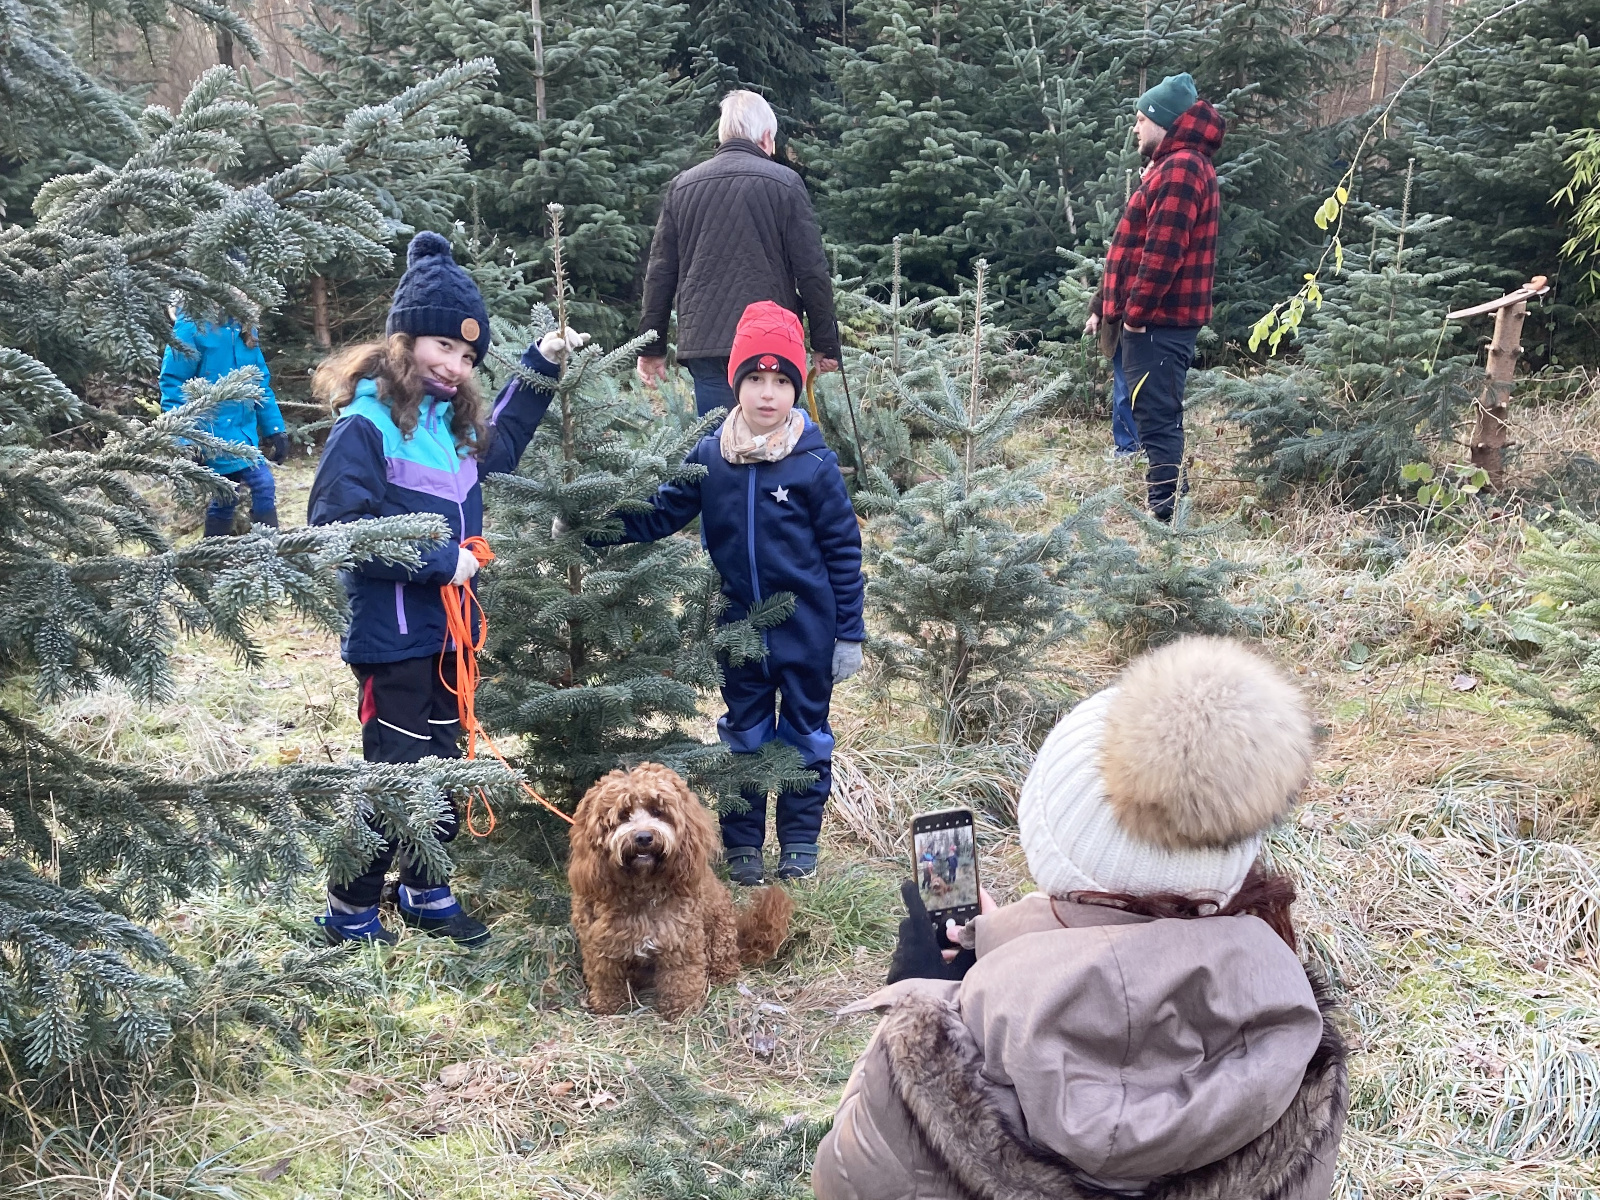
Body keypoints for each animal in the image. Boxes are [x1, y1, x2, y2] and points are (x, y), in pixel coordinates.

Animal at [569, 764, 793, 1017]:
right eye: (623, 815)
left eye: (658, 811)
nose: (644, 837)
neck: (642, 887)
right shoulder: (599, 944)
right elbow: (605, 976)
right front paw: (609, 1005)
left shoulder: (680, 941)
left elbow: (680, 978)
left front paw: (682, 1009)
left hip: (720, 934)